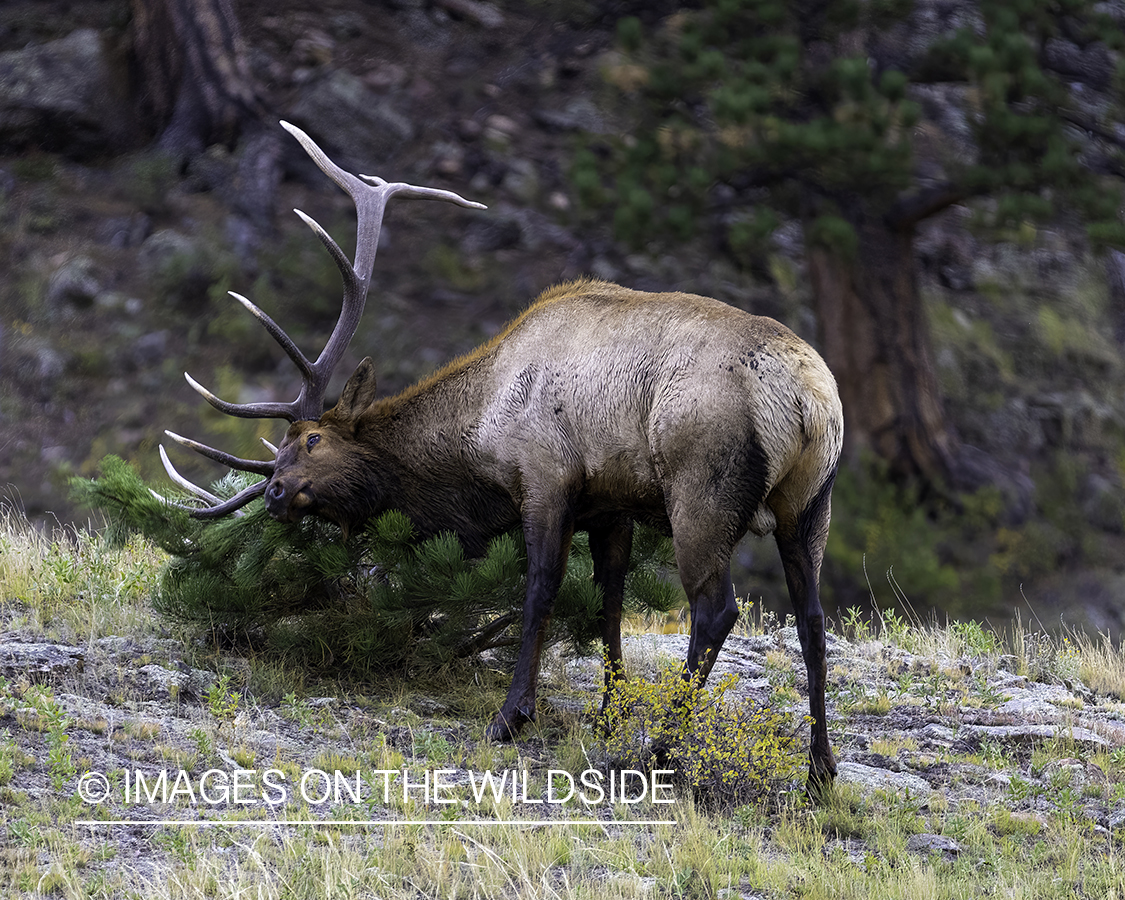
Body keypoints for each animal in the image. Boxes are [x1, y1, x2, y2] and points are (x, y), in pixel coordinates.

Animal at [160, 121, 846, 787]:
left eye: (311, 440)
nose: (275, 492)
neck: (481, 434)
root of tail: (810, 400)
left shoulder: (545, 476)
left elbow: (539, 589)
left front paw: (513, 715)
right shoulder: (612, 502)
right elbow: (609, 600)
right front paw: (608, 715)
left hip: (701, 492)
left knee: (716, 610)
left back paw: (665, 751)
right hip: (810, 502)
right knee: (812, 617)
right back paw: (819, 768)